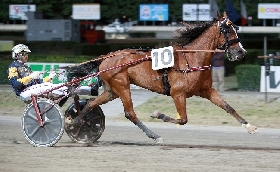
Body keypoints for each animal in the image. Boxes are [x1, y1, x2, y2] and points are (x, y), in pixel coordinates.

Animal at [67, 12, 258, 143]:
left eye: (235, 28)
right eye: (227, 29)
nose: (241, 52)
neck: (192, 59)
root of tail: (107, 57)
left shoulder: (206, 90)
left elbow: (228, 107)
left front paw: (250, 127)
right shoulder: (178, 93)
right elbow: (183, 119)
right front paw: (158, 114)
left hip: (111, 90)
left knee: (91, 104)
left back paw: (77, 121)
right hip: (122, 86)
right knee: (130, 113)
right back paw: (155, 135)